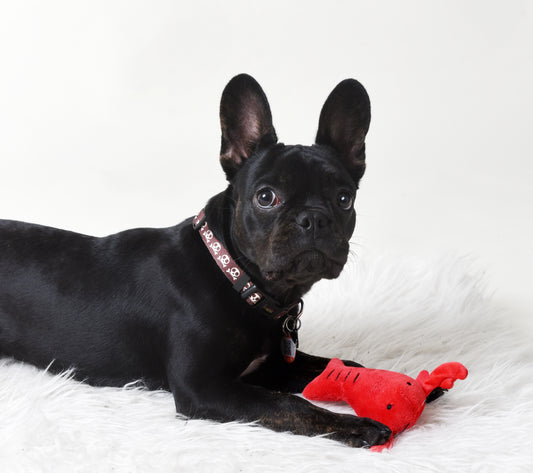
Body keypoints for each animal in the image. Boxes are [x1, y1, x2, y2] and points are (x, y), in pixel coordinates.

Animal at [0, 74, 390, 446]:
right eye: (266, 197)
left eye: (344, 199)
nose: (314, 218)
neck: (237, 279)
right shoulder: (203, 388)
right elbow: (290, 404)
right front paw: (354, 425)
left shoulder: (275, 366)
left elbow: (342, 365)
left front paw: (380, 381)